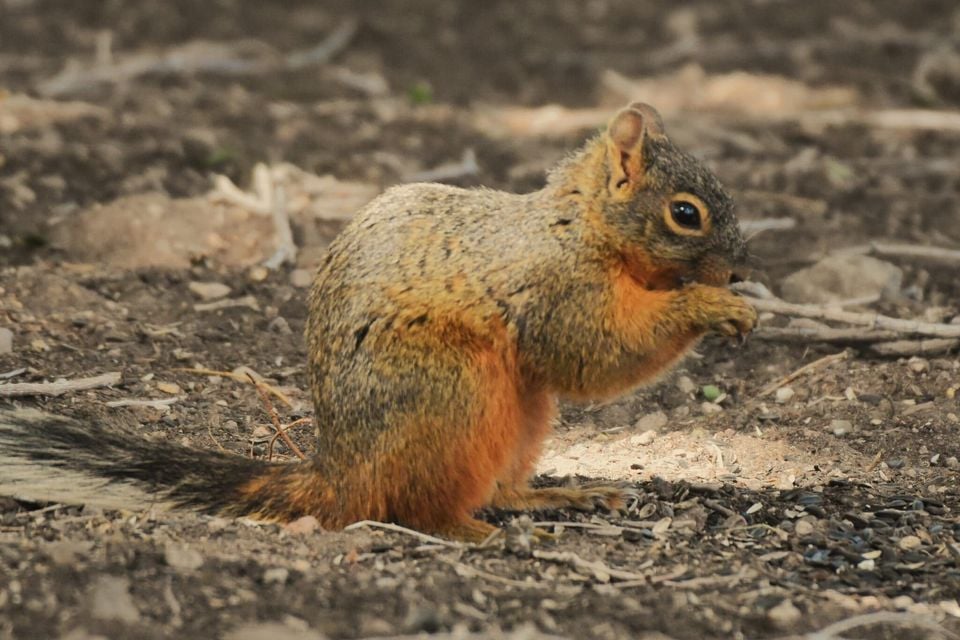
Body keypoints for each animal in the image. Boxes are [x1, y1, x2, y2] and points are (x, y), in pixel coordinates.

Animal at [0, 103, 755, 541]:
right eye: (685, 213)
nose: (739, 271)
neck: (584, 228)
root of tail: (340, 473)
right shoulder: (553, 289)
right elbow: (596, 353)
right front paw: (711, 307)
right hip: (449, 390)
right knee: (418, 508)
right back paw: (475, 531)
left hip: (520, 414)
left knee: (501, 487)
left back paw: (559, 497)